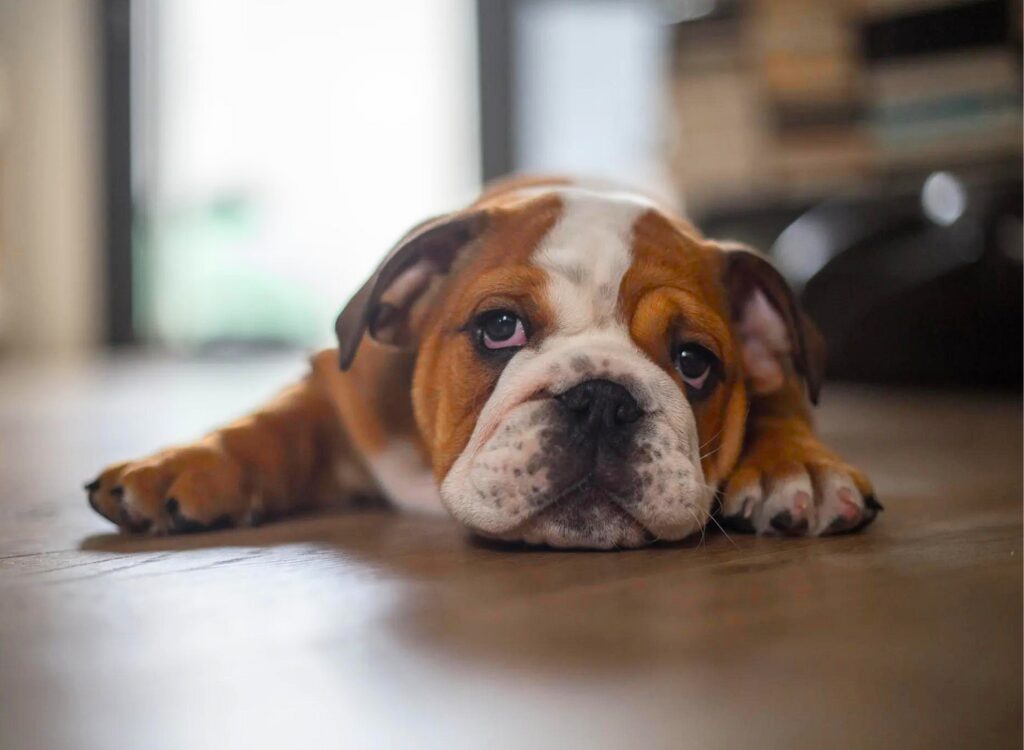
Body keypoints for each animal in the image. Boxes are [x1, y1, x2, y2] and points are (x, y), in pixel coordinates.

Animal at [86, 178, 880, 549]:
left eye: (694, 362)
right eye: (499, 328)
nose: (602, 398)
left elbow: (781, 406)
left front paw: (795, 467)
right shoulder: (339, 390)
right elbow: (271, 424)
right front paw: (181, 465)